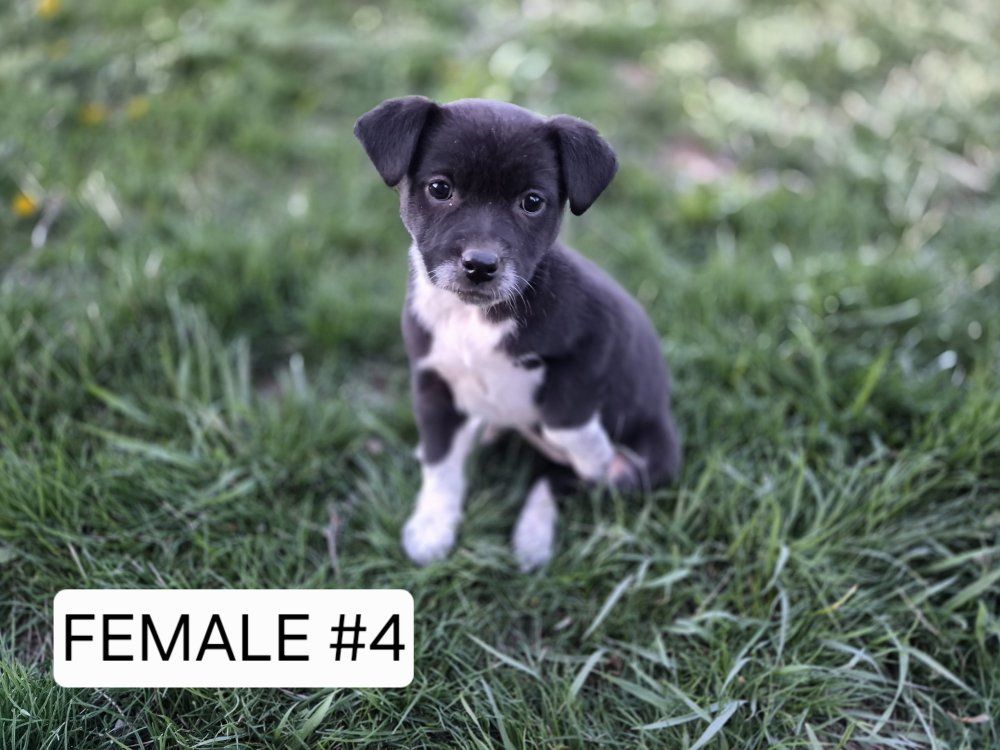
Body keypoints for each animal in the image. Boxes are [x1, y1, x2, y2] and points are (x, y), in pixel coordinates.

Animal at [354, 97, 681, 570]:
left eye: (532, 202)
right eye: (440, 189)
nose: (480, 265)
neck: (473, 317)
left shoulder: (595, 344)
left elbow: (566, 424)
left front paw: (598, 456)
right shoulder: (432, 381)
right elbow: (440, 462)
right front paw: (432, 526)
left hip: (654, 456)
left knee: (561, 479)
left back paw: (534, 536)